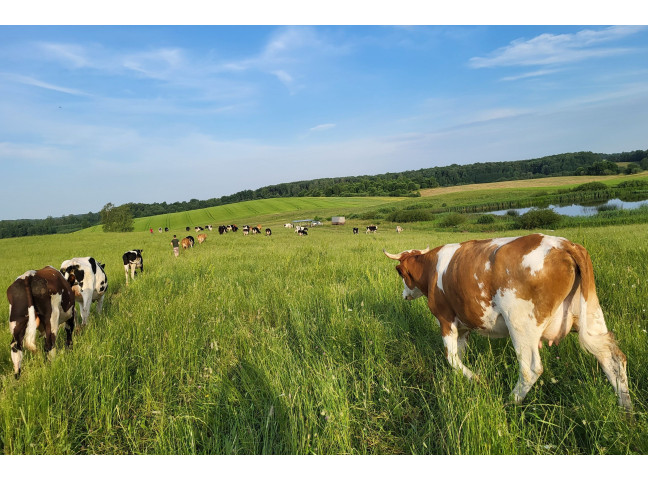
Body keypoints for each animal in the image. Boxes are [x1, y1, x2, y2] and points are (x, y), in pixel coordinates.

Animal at [384, 234, 632, 410]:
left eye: (400, 273)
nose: (404, 295)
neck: (432, 269)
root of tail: (563, 244)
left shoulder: (445, 318)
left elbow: (451, 357)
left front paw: (477, 379)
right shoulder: (464, 326)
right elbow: (459, 354)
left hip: (521, 324)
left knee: (530, 369)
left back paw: (509, 402)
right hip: (591, 314)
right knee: (612, 359)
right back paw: (626, 410)